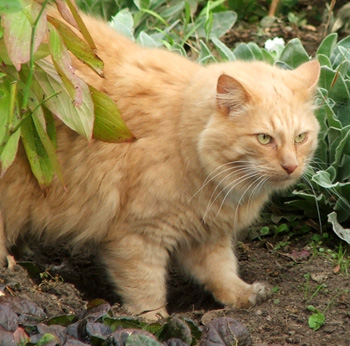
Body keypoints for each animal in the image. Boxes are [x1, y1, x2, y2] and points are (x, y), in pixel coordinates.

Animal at [0, 10, 320, 318]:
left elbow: (221, 272)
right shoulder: (137, 236)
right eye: (265, 139)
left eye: (300, 137)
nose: (291, 166)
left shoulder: (205, 234)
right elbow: (146, 287)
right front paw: (155, 322)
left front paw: (242, 296)